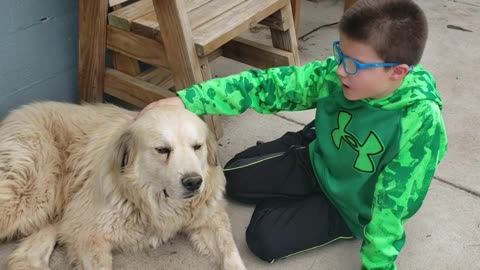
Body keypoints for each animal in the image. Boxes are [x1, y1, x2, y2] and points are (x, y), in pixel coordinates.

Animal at [0, 102, 246, 270]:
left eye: (197, 147)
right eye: (162, 150)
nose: (194, 182)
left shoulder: (210, 219)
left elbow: (231, 254)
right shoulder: (88, 233)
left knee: (29, 257)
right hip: (29, 195)